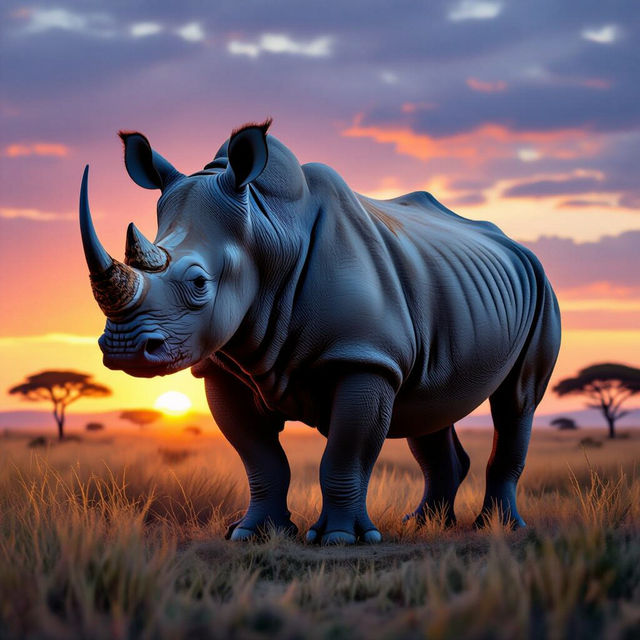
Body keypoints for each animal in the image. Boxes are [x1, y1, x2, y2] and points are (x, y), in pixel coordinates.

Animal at [79, 119, 561, 544]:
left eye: (199, 282)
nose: (123, 349)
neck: (267, 230)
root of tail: (515, 245)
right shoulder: (223, 367)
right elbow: (260, 458)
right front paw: (253, 534)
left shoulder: (365, 357)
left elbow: (345, 454)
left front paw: (341, 539)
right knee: (431, 403)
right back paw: (425, 525)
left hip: (541, 287)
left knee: (517, 400)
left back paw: (499, 528)